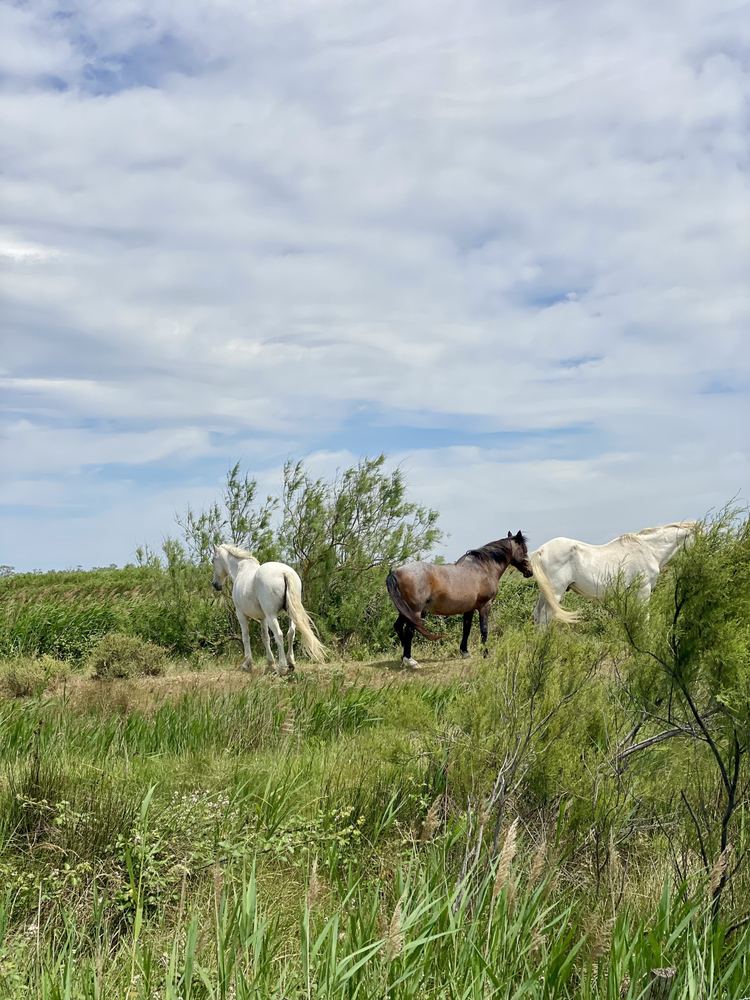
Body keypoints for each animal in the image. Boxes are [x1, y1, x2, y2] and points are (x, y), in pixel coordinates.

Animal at [211, 543, 326, 674]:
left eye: (213, 561)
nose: (215, 584)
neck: (241, 569)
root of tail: (284, 572)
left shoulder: (241, 614)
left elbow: (246, 637)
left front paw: (247, 664)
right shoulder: (263, 618)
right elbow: (265, 638)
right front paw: (270, 664)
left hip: (272, 616)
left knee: (279, 635)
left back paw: (282, 667)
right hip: (290, 615)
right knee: (291, 633)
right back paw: (291, 663)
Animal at [386, 531, 533, 668]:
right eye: (524, 550)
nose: (530, 572)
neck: (484, 568)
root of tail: (395, 571)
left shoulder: (469, 609)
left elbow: (466, 628)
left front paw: (465, 652)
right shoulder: (485, 606)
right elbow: (484, 630)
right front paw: (485, 653)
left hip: (406, 611)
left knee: (398, 626)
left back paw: (404, 655)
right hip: (416, 611)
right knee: (409, 631)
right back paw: (410, 660)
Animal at [530, 521, 698, 625]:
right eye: (700, 537)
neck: (649, 550)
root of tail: (541, 550)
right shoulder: (644, 590)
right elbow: (645, 617)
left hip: (546, 593)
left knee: (538, 615)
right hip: (556, 592)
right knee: (545, 617)